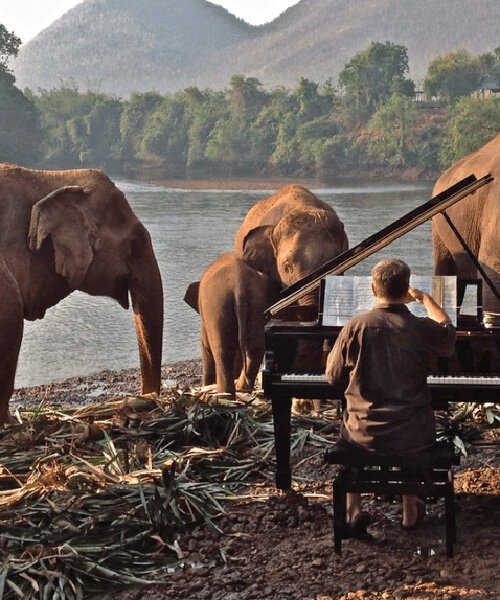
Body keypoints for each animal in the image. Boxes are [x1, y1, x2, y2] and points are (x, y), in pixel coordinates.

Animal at [183, 253, 280, 398]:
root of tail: (239, 287)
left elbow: (206, 347)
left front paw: (206, 386)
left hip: (217, 306)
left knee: (222, 352)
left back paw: (225, 395)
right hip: (257, 303)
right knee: (255, 346)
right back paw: (241, 388)